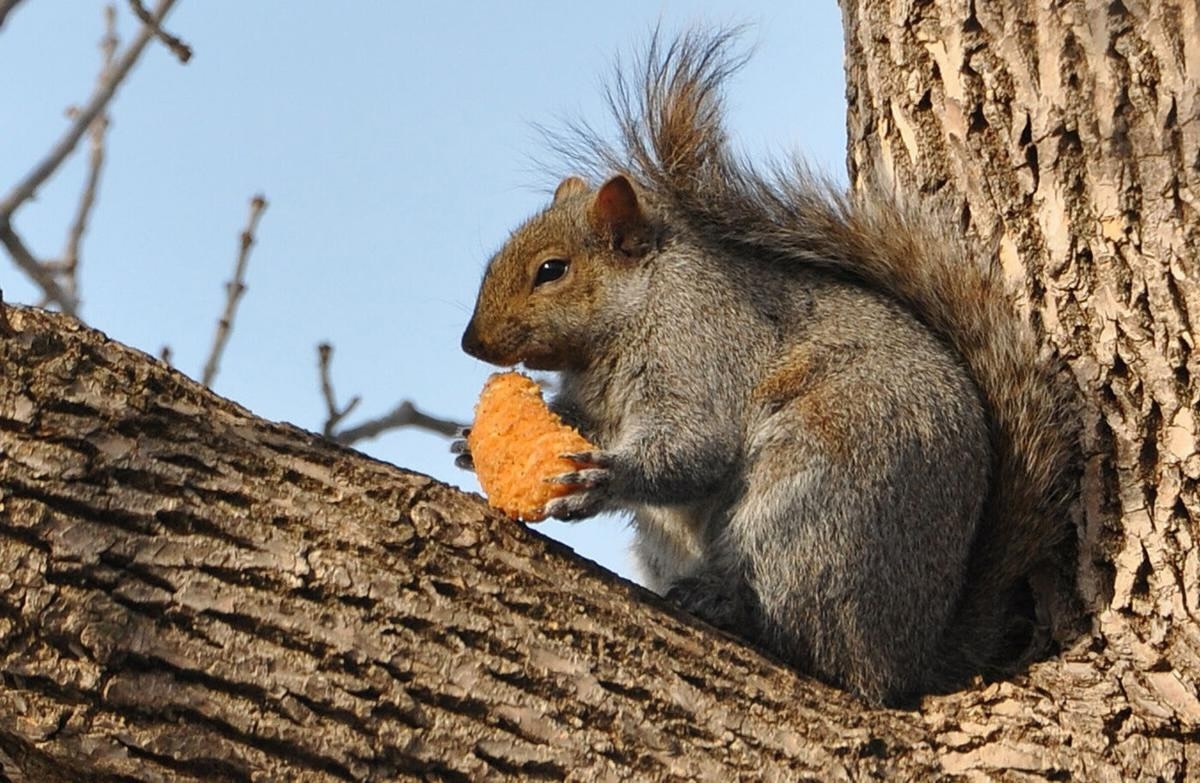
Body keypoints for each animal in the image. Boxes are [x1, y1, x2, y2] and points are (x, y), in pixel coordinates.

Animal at [456, 30, 1076, 705]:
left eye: (551, 270)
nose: (470, 343)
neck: (631, 315)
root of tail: (910, 658)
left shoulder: (701, 346)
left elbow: (694, 447)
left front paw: (603, 478)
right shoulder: (595, 396)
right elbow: (579, 418)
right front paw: (468, 443)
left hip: (811, 513)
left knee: (811, 636)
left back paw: (727, 605)